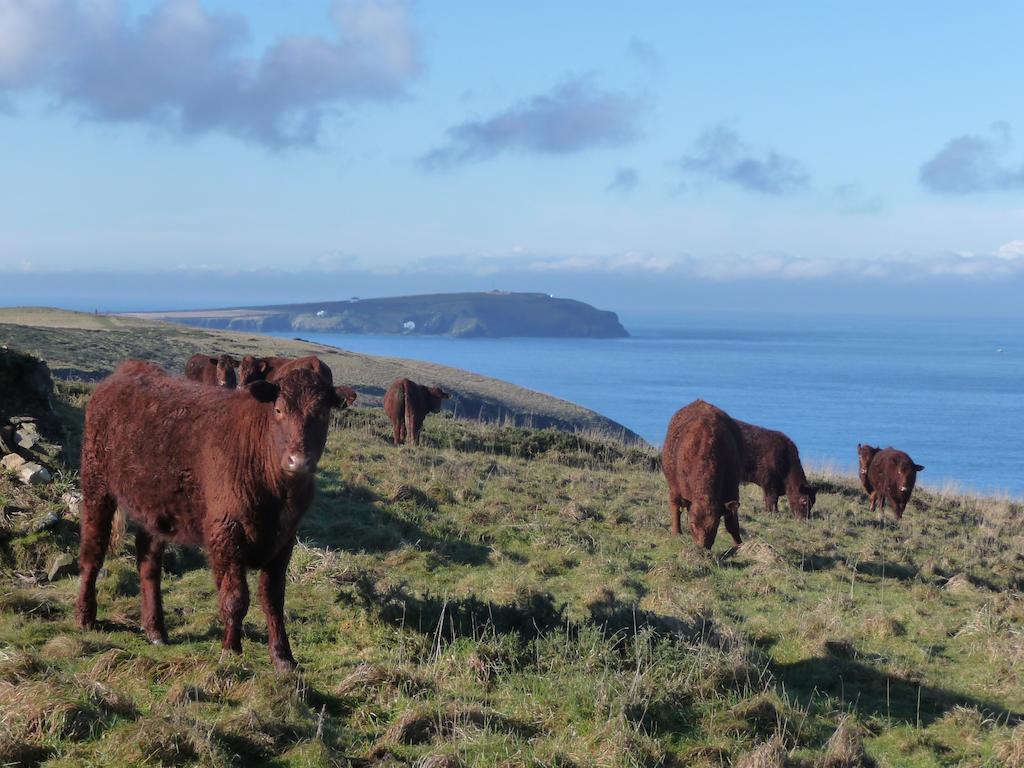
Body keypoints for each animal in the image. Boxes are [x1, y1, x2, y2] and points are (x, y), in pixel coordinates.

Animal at [75, 360, 348, 671]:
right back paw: (85, 617)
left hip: (154, 506)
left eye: (323, 413)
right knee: (93, 552)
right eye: (279, 410)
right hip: (97, 484)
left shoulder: (283, 541)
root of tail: (127, 370)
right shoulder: (225, 533)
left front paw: (283, 657)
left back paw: (155, 629)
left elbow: (273, 600)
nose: (298, 461)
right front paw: (231, 650)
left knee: (148, 562)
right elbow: (235, 598)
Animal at [663, 399, 745, 548]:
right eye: (692, 524)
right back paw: (676, 532)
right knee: (675, 505)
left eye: (715, 525)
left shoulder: (732, 489)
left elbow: (732, 524)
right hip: (673, 485)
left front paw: (739, 544)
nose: (701, 548)